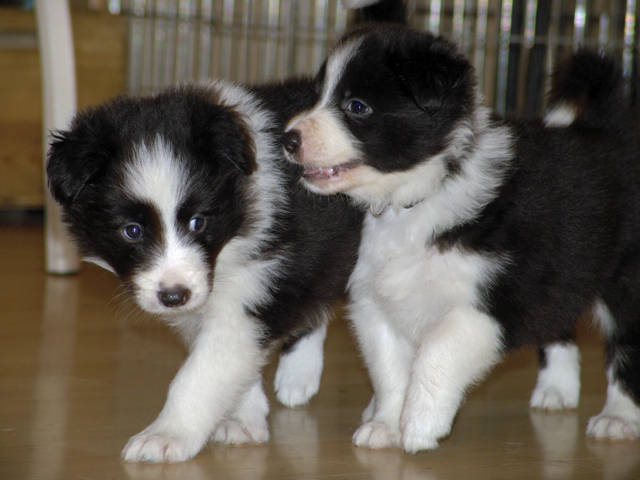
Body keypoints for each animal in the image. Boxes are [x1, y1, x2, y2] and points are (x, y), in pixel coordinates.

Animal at [283, 21, 640, 452]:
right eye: (318, 97)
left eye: (357, 106)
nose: (288, 139)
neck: (420, 195)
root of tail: (613, 130)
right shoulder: (375, 302)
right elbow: (388, 370)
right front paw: (385, 424)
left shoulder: (486, 305)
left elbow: (437, 353)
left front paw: (421, 424)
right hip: (563, 269)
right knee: (558, 322)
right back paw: (557, 391)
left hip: (624, 281)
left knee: (627, 347)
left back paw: (618, 417)